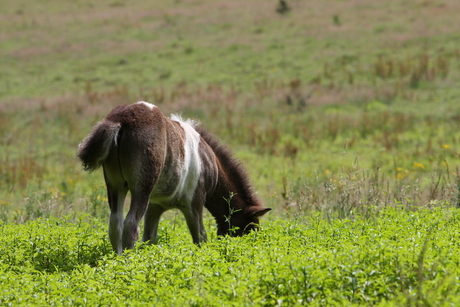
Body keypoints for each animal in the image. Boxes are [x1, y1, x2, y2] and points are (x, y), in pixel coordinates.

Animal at [77, 101, 272, 255]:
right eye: (249, 229)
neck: (207, 160)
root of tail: (120, 121)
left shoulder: (155, 205)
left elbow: (149, 238)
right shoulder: (194, 202)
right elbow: (200, 237)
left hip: (115, 185)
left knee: (115, 223)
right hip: (142, 188)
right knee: (130, 225)